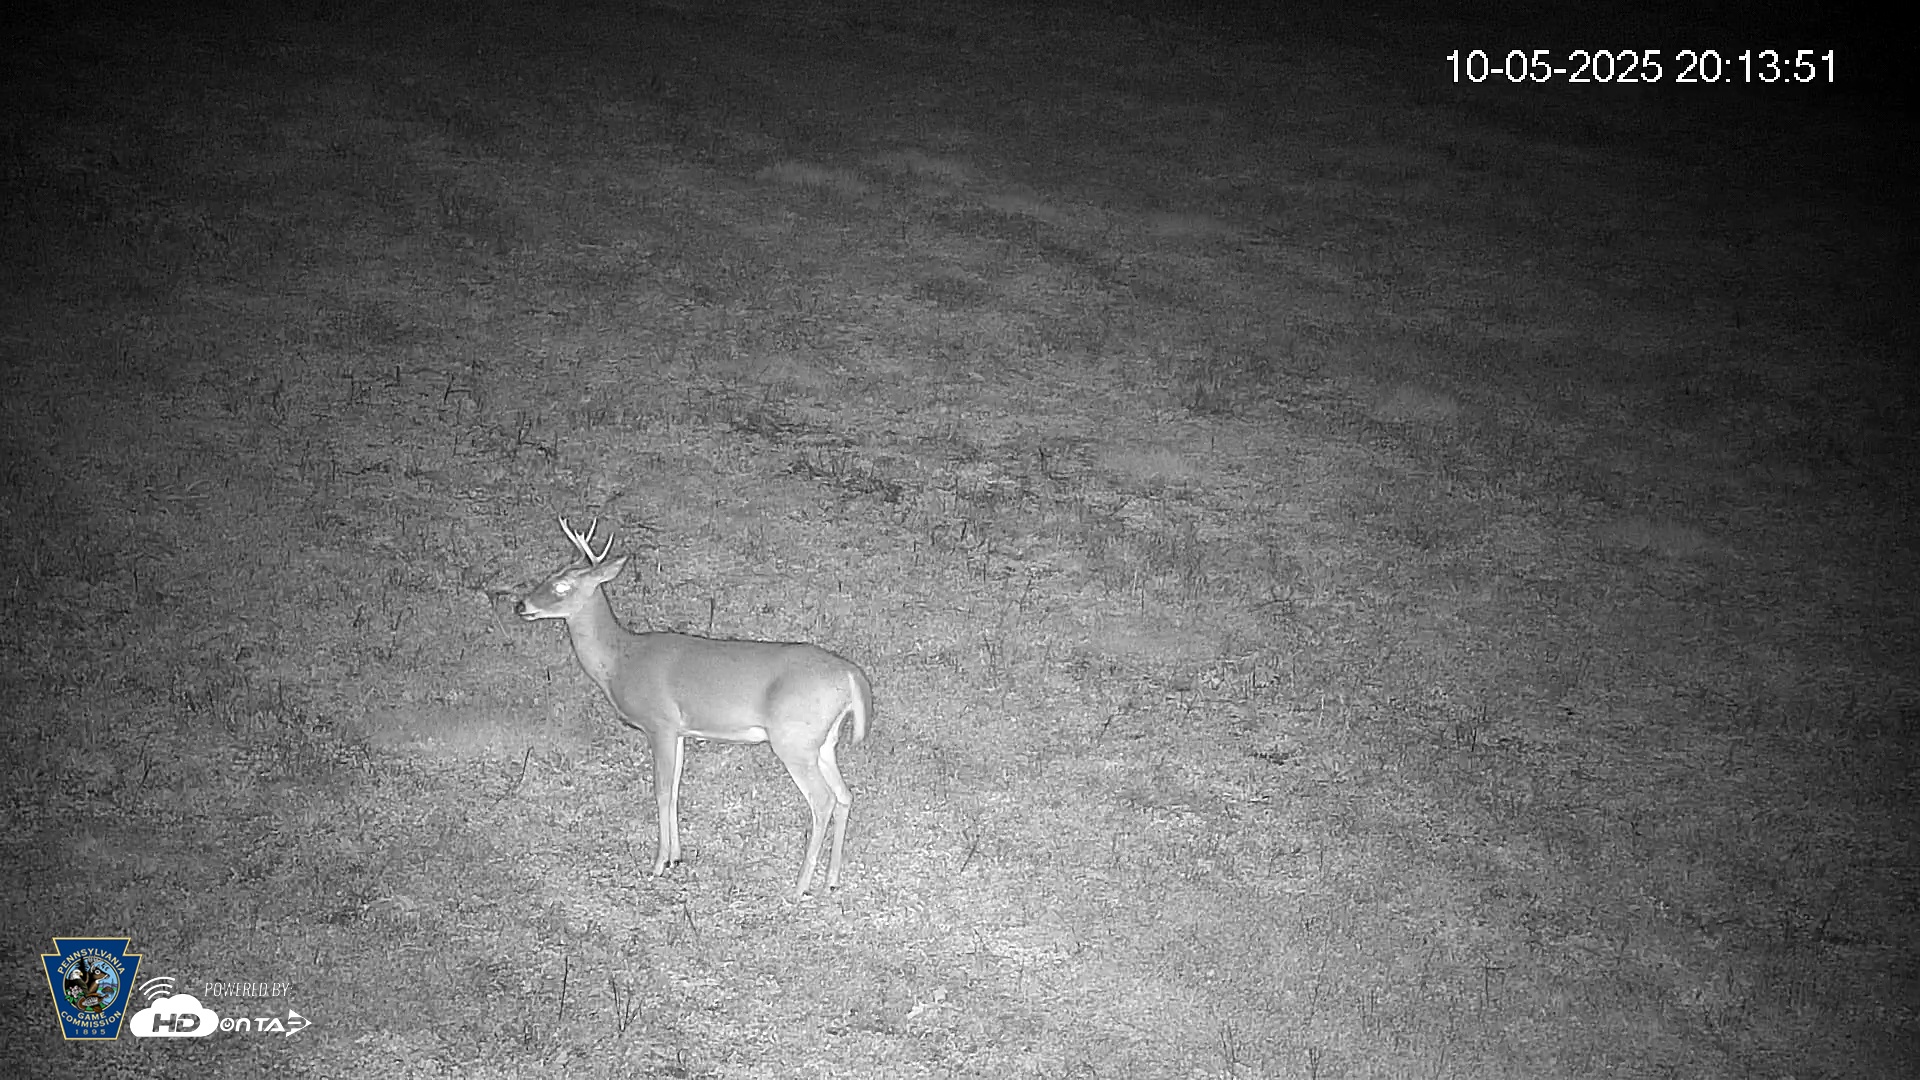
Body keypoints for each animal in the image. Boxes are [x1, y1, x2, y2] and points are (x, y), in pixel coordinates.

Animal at [515, 517, 872, 902]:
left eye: (561, 585)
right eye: (549, 573)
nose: (521, 605)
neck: (620, 660)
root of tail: (851, 674)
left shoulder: (659, 723)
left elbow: (660, 790)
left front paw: (657, 865)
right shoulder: (680, 731)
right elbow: (674, 789)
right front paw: (675, 858)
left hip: (794, 739)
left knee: (823, 800)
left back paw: (799, 887)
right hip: (823, 742)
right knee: (845, 796)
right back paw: (831, 880)